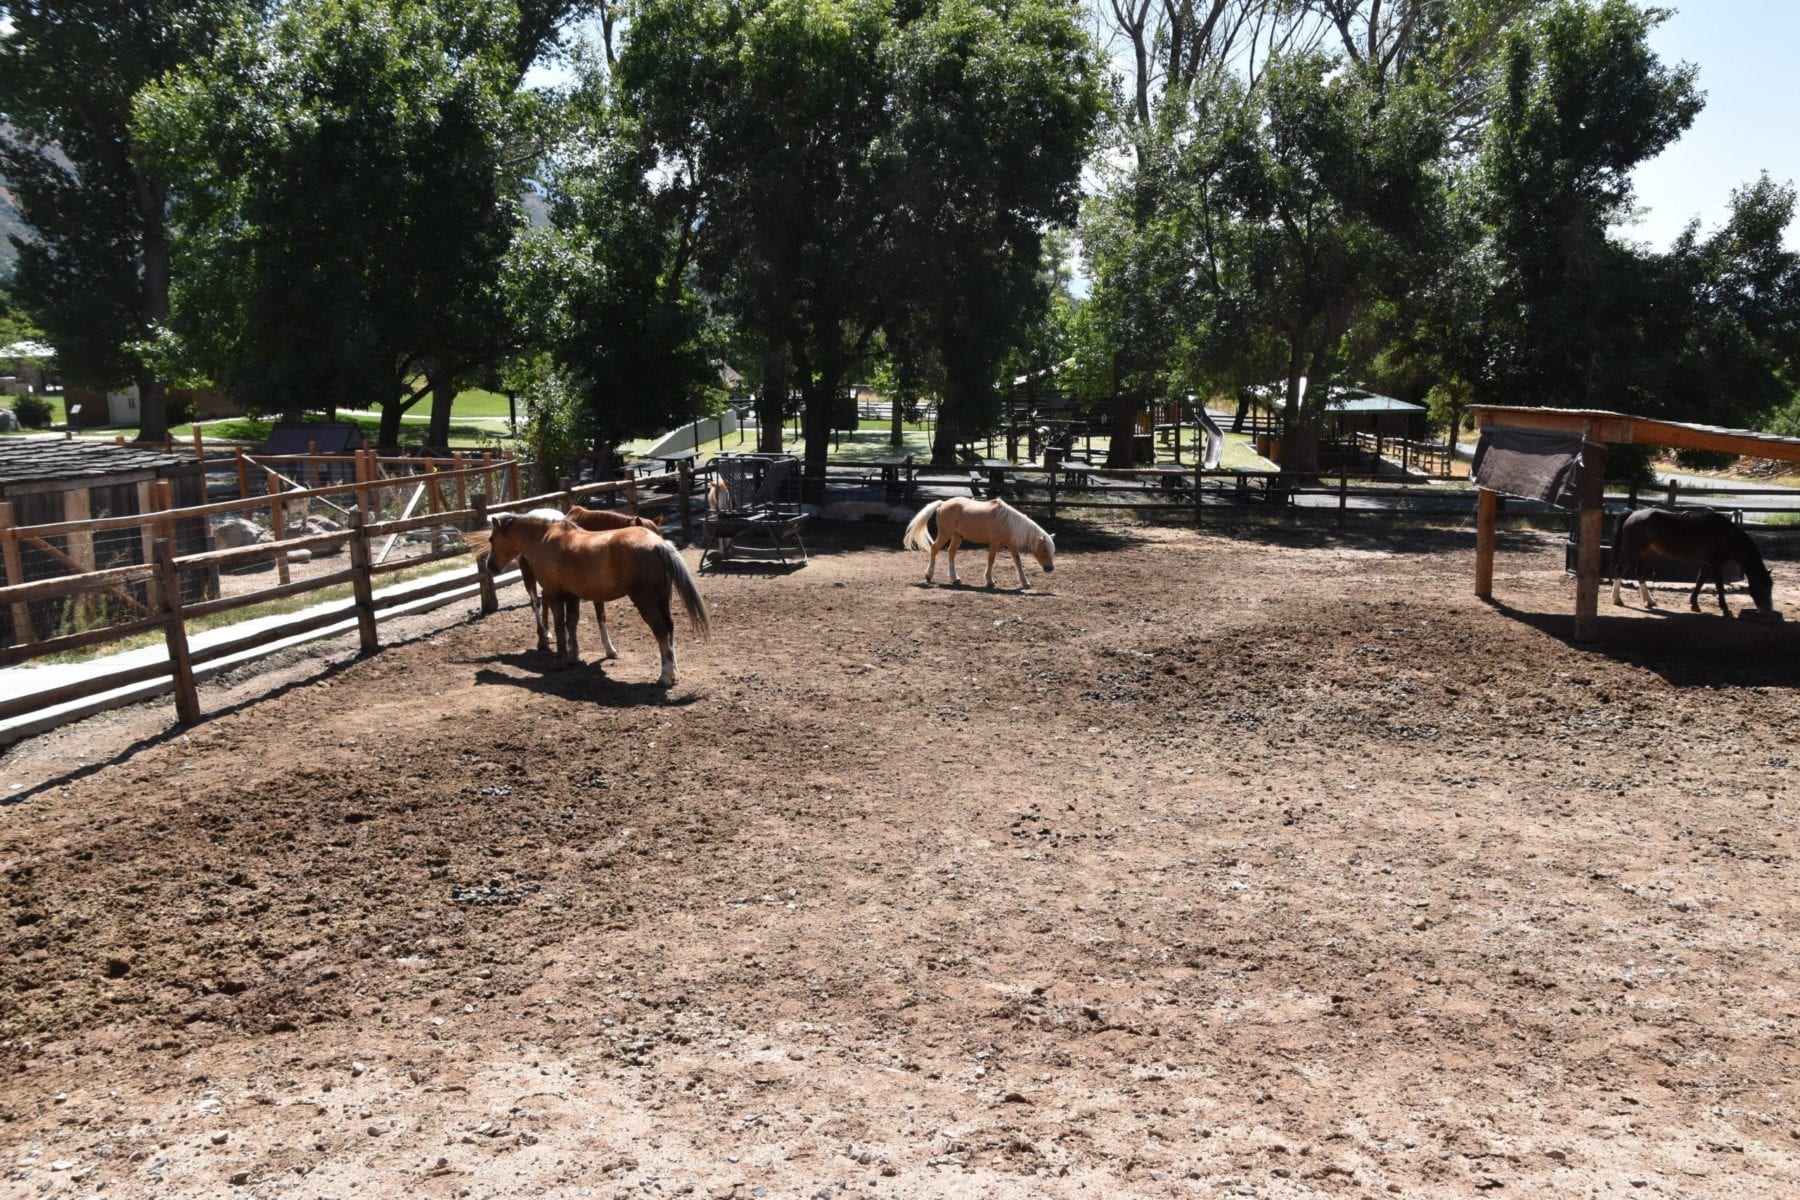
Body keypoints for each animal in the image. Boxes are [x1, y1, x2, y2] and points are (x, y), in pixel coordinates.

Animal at [511, 507, 666, 658]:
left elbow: (600, 616)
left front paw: (609, 649)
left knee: (545, 599)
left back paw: (548, 633)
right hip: (529, 575)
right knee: (535, 602)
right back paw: (542, 639)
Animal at [900, 496, 1051, 590]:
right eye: (1044, 550)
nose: (1050, 568)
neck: (1007, 522)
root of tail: (943, 503)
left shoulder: (1011, 544)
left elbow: (1018, 561)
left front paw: (1025, 583)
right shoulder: (994, 544)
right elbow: (991, 560)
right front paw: (990, 581)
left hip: (957, 536)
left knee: (951, 553)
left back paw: (955, 578)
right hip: (945, 534)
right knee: (934, 549)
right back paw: (929, 576)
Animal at [1612, 510, 1778, 618]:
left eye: (1770, 587)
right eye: (1761, 587)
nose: (1768, 610)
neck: (1726, 535)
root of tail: (1632, 514)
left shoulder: (1706, 565)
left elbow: (1699, 582)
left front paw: (1694, 604)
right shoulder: (1715, 565)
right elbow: (1719, 586)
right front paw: (1725, 609)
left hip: (1646, 552)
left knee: (1640, 574)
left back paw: (1649, 601)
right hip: (1632, 550)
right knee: (1620, 570)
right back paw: (1617, 600)